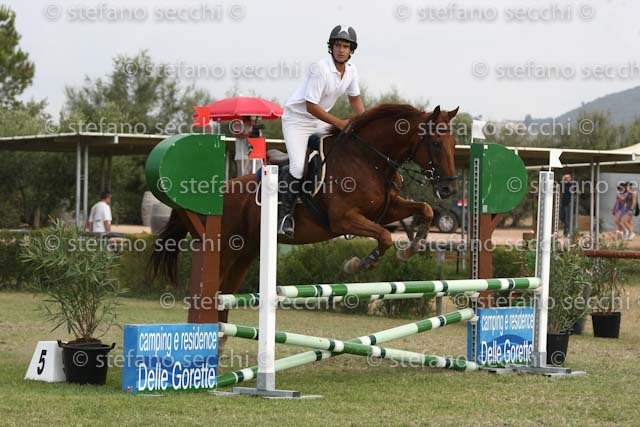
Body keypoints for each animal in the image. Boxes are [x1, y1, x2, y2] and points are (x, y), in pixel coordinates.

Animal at [150, 103, 459, 328]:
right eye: (434, 143)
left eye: (453, 143)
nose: (448, 188)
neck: (367, 159)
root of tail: (220, 191)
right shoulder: (343, 218)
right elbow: (383, 237)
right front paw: (357, 264)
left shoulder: (386, 209)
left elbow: (425, 210)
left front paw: (412, 248)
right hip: (224, 249)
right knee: (212, 291)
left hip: (246, 253)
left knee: (225, 294)